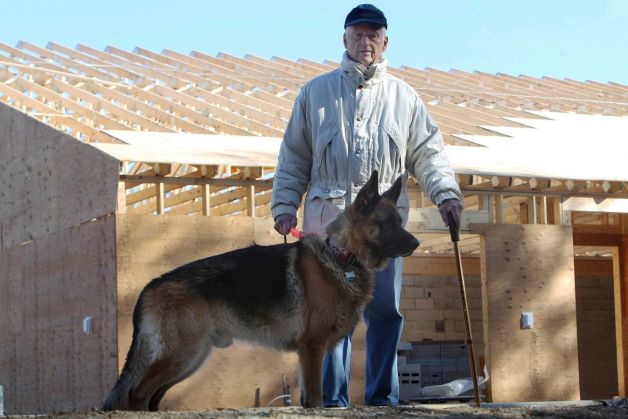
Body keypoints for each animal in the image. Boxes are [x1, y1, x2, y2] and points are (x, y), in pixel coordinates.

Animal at [102, 171, 418, 414]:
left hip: (190, 358)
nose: (416, 243)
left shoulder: (309, 354)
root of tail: (152, 284)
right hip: (182, 354)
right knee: (137, 393)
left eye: (400, 221)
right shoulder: (312, 347)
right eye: (386, 224)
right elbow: (316, 400)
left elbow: (308, 400)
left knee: (151, 395)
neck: (342, 258)